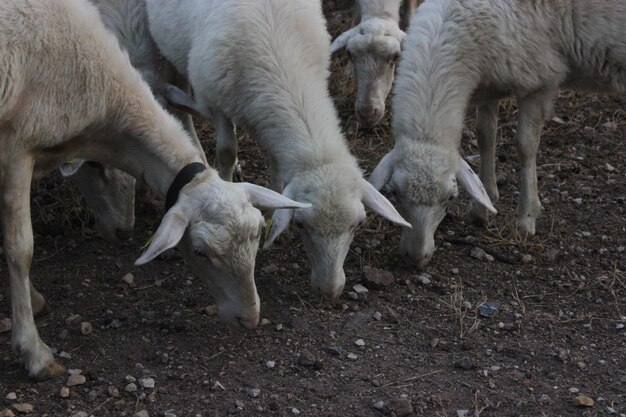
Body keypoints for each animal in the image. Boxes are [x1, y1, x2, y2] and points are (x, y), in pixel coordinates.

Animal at [0, 0, 308, 380]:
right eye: (200, 251)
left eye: (256, 238)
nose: (249, 319)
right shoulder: (17, 150)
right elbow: (21, 249)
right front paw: (34, 352)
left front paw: (34, 300)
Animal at [146, 0, 410, 300]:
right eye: (301, 225)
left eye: (357, 225)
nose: (329, 291)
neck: (283, 67)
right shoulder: (217, 103)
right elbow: (226, 151)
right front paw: (226, 186)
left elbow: (276, 163)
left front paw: (275, 207)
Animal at [368, 0, 624, 266]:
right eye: (395, 193)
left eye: (450, 198)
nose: (417, 258)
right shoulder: (490, 79)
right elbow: (485, 135)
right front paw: (483, 205)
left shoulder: (540, 80)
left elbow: (525, 146)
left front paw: (527, 217)